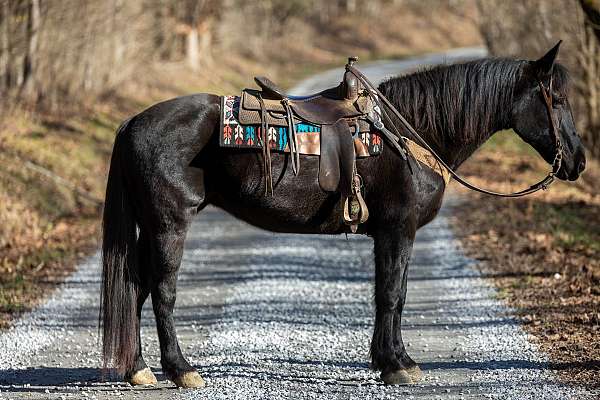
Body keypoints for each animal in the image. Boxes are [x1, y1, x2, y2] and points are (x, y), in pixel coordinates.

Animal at [99, 43, 584, 388]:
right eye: (557, 99)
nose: (578, 162)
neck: (409, 133)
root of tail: (133, 123)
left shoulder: (389, 235)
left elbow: (391, 295)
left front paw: (393, 359)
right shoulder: (398, 230)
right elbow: (391, 295)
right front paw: (396, 365)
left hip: (151, 227)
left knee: (135, 287)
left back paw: (138, 369)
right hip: (169, 225)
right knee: (161, 291)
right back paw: (181, 370)